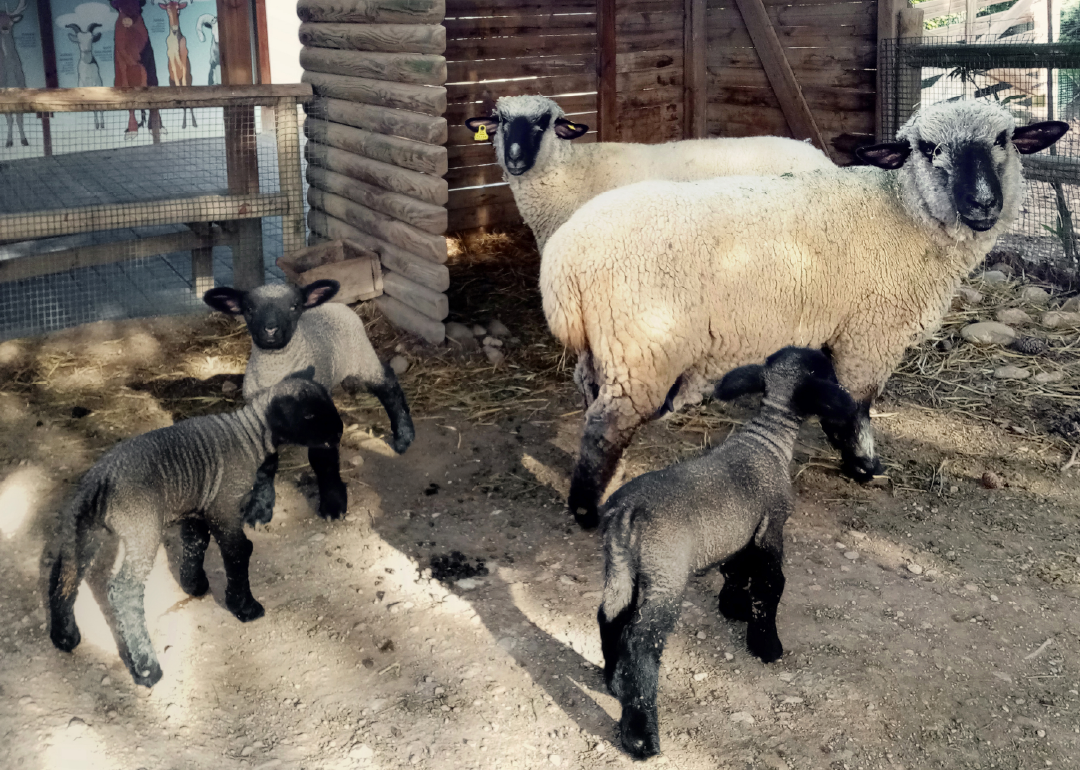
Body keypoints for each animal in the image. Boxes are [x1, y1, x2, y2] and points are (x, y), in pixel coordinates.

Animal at [47, 376, 344, 687]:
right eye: (309, 414)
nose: (339, 432)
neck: (249, 436)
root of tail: (103, 481)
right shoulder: (224, 506)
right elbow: (238, 552)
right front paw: (244, 607)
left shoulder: (198, 507)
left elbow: (195, 543)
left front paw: (195, 585)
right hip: (142, 529)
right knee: (124, 590)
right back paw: (147, 669)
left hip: (82, 527)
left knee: (65, 572)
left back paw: (65, 636)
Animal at [203, 279, 414, 523]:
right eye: (249, 309)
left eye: (294, 306)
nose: (271, 329)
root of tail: (335, 303)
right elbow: (265, 467)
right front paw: (259, 509)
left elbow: (323, 461)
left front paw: (333, 505)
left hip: (361, 357)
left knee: (387, 383)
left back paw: (404, 436)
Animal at [541, 100, 1069, 529]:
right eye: (927, 148)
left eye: (1003, 140)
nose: (983, 203)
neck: (904, 212)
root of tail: (563, 259)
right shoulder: (869, 333)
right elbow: (856, 405)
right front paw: (863, 467)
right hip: (644, 343)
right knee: (604, 427)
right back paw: (587, 511)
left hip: (607, 345)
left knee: (591, 396)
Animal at [598, 346, 857, 759]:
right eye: (828, 372)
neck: (768, 439)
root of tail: (625, 512)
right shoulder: (771, 526)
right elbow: (771, 584)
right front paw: (766, 644)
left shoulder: (740, 533)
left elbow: (736, 570)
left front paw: (733, 607)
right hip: (666, 570)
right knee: (641, 641)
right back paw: (640, 737)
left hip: (619, 563)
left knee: (610, 615)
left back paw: (613, 683)